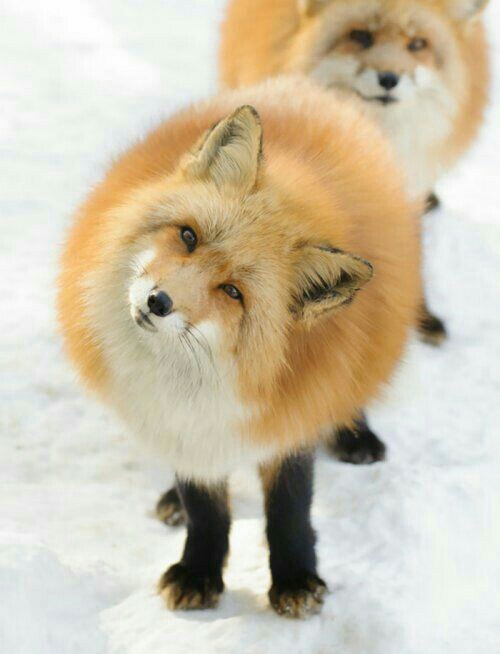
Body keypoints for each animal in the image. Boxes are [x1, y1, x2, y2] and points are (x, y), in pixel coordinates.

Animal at [58, 76, 420, 618]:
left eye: (232, 292)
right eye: (188, 236)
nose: (158, 302)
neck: (192, 380)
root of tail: (307, 87)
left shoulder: (292, 413)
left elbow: (289, 511)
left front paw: (295, 579)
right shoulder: (179, 419)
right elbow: (205, 507)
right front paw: (199, 570)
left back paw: (356, 434)